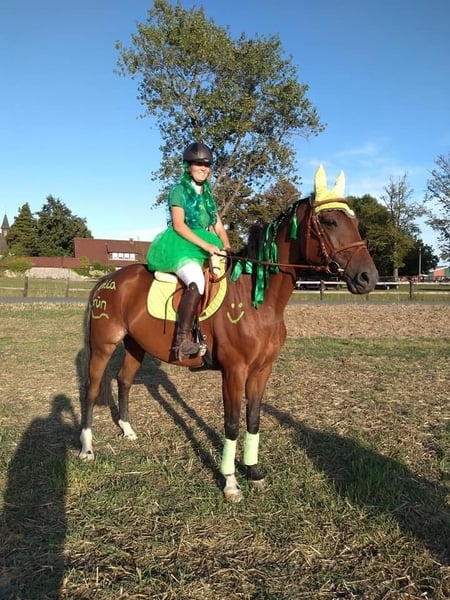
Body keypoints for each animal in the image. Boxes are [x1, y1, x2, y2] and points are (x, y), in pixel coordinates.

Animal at [79, 166, 378, 502]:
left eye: (355, 221)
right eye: (329, 221)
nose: (368, 277)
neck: (257, 299)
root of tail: (109, 279)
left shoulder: (262, 370)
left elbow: (253, 420)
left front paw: (254, 471)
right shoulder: (234, 372)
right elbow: (232, 424)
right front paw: (231, 482)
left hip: (135, 345)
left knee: (124, 380)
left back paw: (128, 431)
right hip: (103, 346)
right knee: (91, 389)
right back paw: (87, 449)